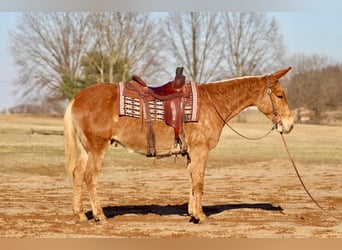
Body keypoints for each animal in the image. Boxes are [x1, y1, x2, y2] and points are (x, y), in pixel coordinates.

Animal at [63, 66, 294, 223]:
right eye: (280, 95)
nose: (289, 124)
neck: (212, 103)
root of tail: (77, 98)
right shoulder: (201, 150)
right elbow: (199, 182)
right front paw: (200, 216)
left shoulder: (191, 153)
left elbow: (192, 181)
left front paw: (192, 213)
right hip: (97, 148)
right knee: (90, 177)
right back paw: (100, 216)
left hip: (86, 149)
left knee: (77, 175)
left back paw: (80, 214)